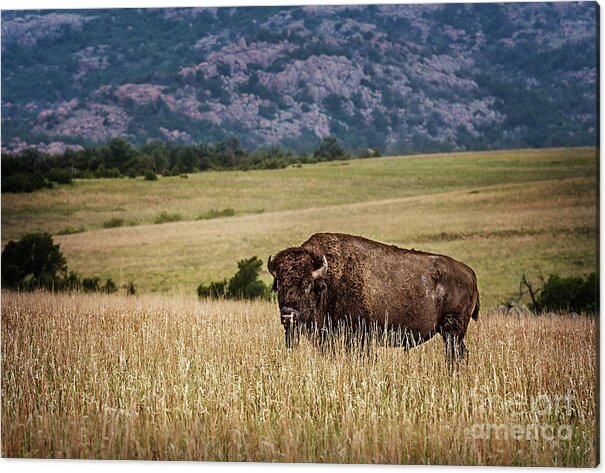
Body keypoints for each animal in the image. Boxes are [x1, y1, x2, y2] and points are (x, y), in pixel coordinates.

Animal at [266, 232, 478, 366]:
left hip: (452, 331)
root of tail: (469, 272)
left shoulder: (359, 335)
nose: (288, 316)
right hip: (449, 333)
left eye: (307, 284)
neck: (328, 280)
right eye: (278, 286)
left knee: (457, 354)